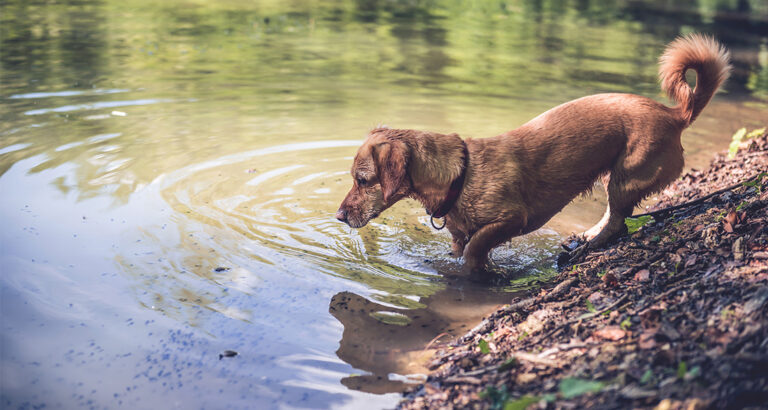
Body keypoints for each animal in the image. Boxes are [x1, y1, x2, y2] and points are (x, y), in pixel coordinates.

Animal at [336, 34, 732, 272]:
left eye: (364, 180)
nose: (339, 216)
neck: (460, 175)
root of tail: (676, 114)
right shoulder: (457, 238)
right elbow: (461, 249)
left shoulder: (512, 220)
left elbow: (477, 247)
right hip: (617, 179)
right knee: (613, 216)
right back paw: (585, 237)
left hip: (627, 176)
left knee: (619, 222)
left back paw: (589, 246)